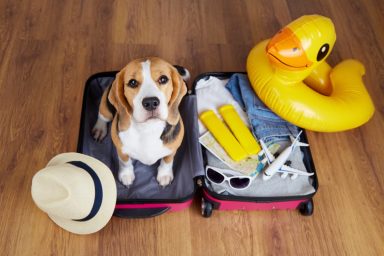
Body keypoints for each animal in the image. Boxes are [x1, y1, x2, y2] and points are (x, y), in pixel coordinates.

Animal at [93, 57, 189, 186]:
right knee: (103, 115)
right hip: (106, 106)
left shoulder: (172, 149)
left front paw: (164, 175)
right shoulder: (121, 149)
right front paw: (126, 175)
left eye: (163, 79)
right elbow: (125, 162)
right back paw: (99, 128)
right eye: (132, 82)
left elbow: (167, 160)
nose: (151, 102)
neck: (148, 128)